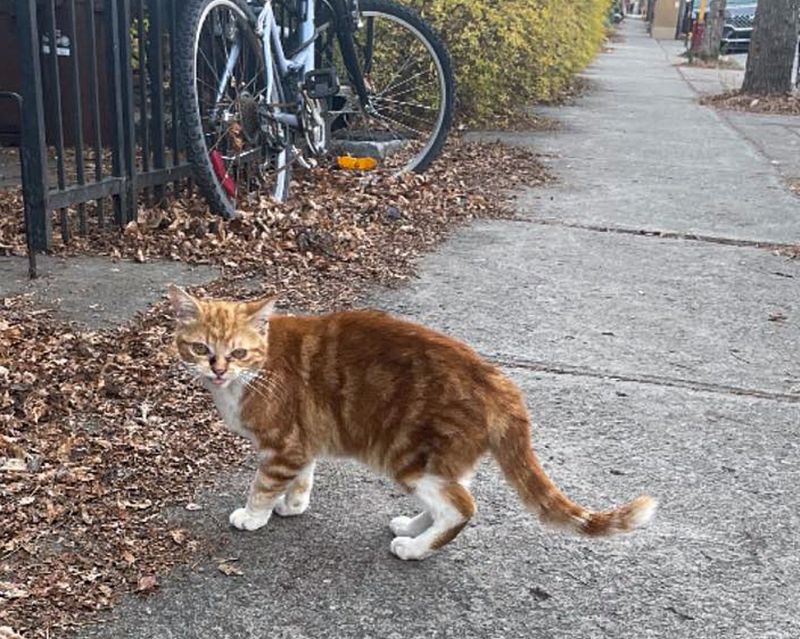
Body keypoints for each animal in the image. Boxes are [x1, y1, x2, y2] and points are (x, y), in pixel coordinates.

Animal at [169, 284, 656, 560]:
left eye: (237, 352)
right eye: (200, 348)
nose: (217, 369)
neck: (257, 369)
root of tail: (497, 381)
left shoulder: (282, 443)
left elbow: (263, 484)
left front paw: (255, 515)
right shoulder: (302, 442)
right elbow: (302, 476)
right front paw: (293, 505)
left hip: (408, 456)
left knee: (462, 507)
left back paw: (414, 549)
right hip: (441, 461)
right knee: (453, 496)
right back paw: (412, 527)